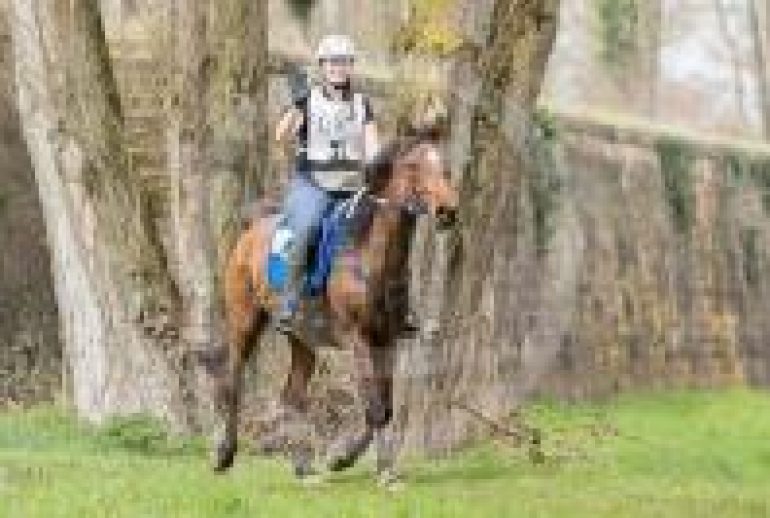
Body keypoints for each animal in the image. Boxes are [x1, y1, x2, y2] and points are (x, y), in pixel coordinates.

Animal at [211, 126, 459, 483]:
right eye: (413, 166)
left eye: (444, 166)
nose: (447, 211)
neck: (369, 253)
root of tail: (249, 232)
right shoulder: (358, 337)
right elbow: (374, 406)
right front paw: (373, 468)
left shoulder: (388, 339)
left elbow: (385, 407)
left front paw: (349, 460)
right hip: (244, 322)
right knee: (233, 382)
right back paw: (223, 455)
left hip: (302, 339)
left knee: (292, 397)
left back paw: (303, 468)